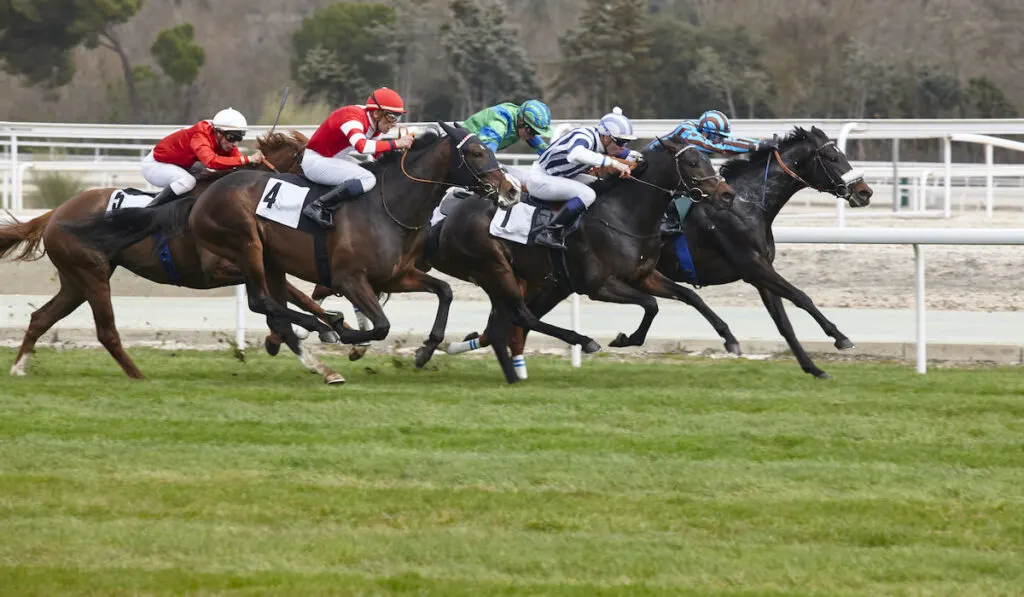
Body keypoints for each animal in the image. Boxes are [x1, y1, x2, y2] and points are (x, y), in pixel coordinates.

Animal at [0, 132, 348, 382]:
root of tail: (55, 213)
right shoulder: (220, 269)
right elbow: (284, 297)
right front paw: (314, 330)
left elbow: (297, 295)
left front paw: (330, 323)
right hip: (92, 275)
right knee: (106, 332)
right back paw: (139, 377)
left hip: (76, 280)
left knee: (41, 317)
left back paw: (19, 368)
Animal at [419, 136, 733, 382]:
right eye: (692, 163)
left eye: (706, 159)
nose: (727, 195)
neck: (623, 215)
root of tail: (447, 221)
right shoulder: (598, 285)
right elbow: (651, 304)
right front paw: (625, 339)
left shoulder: (644, 275)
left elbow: (690, 297)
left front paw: (729, 339)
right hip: (494, 268)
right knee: (521, 316)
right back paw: (582, 341)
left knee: (502, 324)